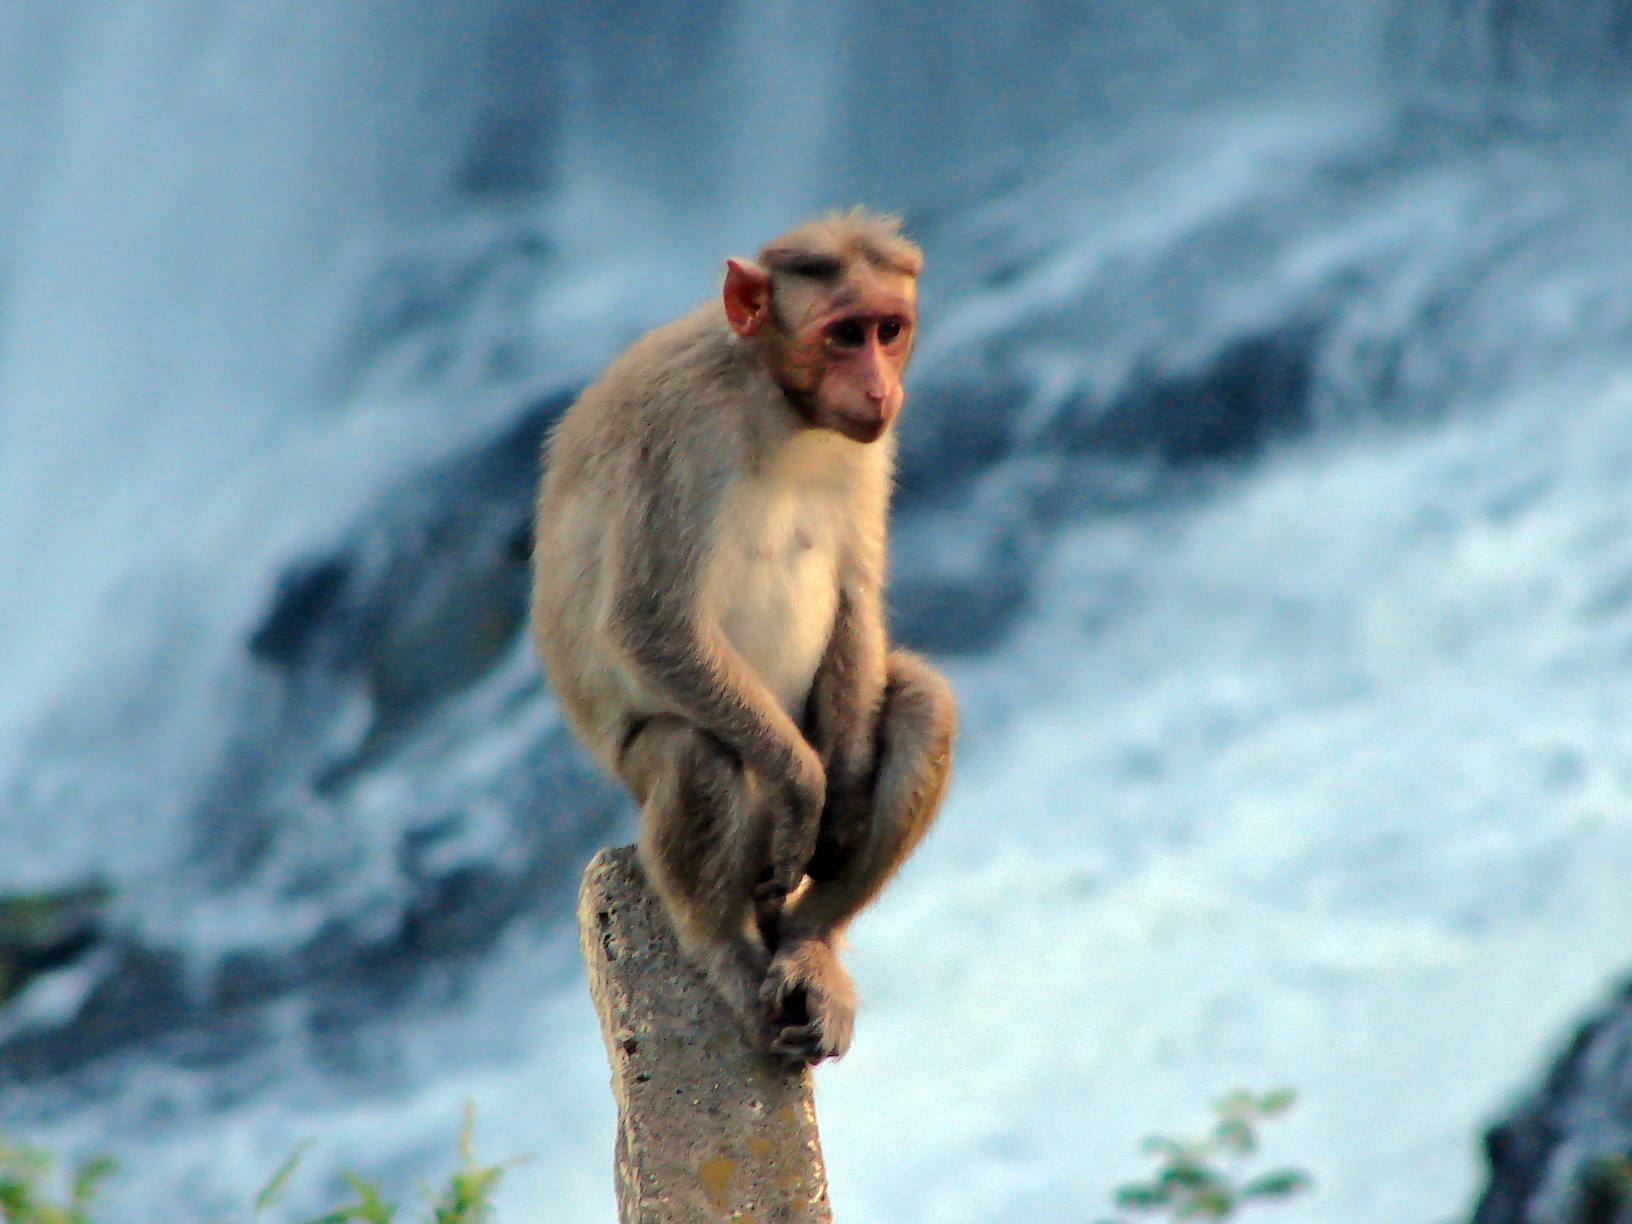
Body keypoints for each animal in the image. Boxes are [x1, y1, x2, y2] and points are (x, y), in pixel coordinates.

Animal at [531, 209, 956, 1065]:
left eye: (889, 330)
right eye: (844, 334)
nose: (879, 386)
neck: (776, 402)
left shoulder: (870, 445)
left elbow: (856, 595)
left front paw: (843, 803)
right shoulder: (675, 429)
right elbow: (650, 623)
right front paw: (806, 788)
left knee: (922, 703)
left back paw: (811, 942)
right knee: (698, 754)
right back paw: (723, 944)